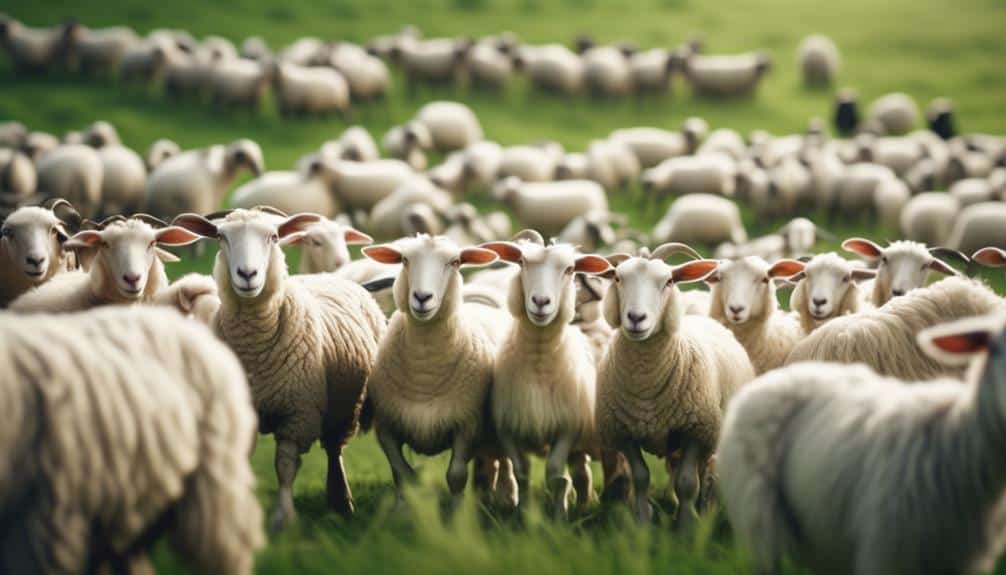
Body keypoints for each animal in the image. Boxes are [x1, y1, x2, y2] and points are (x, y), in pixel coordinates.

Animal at [172, 209, 386, 530]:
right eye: (221, 237)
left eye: (273, 237)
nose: (247, 274)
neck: (255, 353)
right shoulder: (242, 409)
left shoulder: (297, 414)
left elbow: (285, 466)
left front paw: (284, 518)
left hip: (344, 405)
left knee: (334, 449)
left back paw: (341, 500)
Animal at [361, 235, 517, 507]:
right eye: (404, 260)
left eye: (455, 262)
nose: (422, 297)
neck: (425, 372)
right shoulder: (386, 426)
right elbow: (402, 473)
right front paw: (402, 508)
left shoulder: (467, 424)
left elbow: (456, 475)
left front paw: (456, 511)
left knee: (502, 456)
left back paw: (506, 494)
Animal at [480, 232, 614, 517]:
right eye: (521, 261)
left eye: (569, 269)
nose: (541, 302)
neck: (539, 362)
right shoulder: (509, 428)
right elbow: (521, 472)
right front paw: (522, 513)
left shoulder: (567, 427)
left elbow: (555, 474)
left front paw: (559, 514)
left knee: (582, 471)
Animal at [595, 245, 754, 526]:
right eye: (617, 278)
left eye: (668, 281)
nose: (636, 318)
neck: (646, 385)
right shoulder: (624, 433)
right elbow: (641, 478)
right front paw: (643, 522)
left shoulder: (696, 430)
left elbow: (687, 482)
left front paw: (687, 526)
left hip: (713, 430)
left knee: (705, 471)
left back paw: (705, 507)